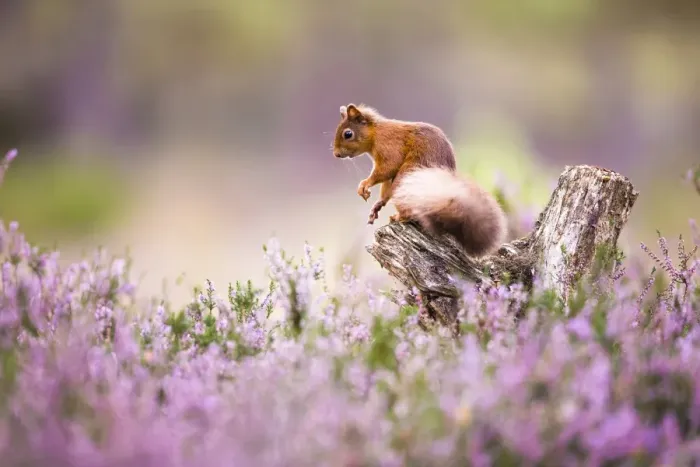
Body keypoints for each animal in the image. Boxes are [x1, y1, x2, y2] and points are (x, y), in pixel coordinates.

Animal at [332, 103, 507, 258]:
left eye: (348, 134)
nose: (336, 154)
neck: (376, 132)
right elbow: (386, 185)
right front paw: (377, 205)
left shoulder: (389, 146)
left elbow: (387, 168)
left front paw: (365, 184)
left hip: (406, 178)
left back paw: (399, 217)